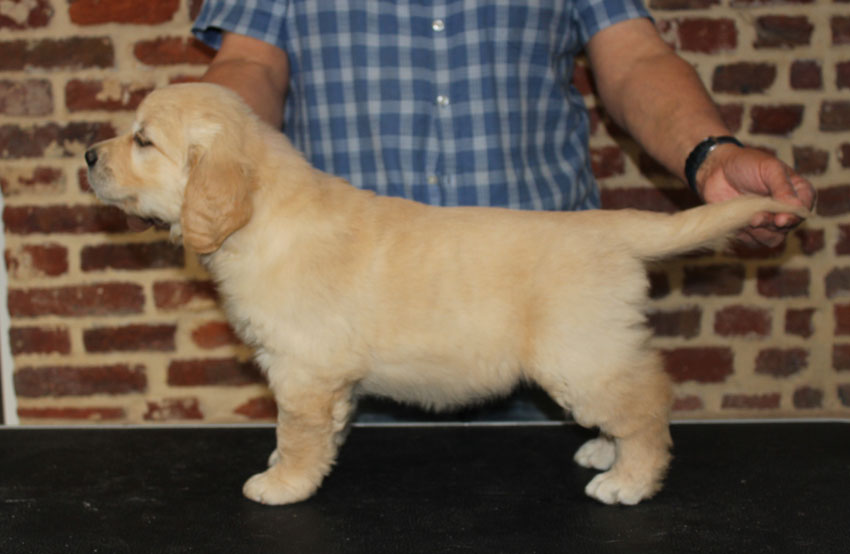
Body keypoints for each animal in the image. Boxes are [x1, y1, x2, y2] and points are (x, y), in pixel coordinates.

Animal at [86, 83, 808, 504]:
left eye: (143, 140)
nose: (89, 155)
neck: (260, 215)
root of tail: (614, 227)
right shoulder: (326, 377)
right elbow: (324, 428)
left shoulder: (303, 368)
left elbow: (298, 432)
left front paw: (283, 483)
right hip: (594, 351)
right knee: (631, 401)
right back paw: (607, 449)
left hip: (579, 354)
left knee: (649, 405)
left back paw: (630, 479)